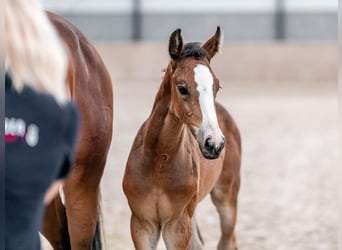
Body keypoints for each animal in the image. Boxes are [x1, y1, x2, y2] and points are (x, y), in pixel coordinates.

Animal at [123, 26, 240, 249]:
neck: (158, 160)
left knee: (227, 240)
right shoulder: (142, 224)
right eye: (182, 88)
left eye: (217, 87)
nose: (214, 144)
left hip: (226, 197)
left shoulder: (176, 226)